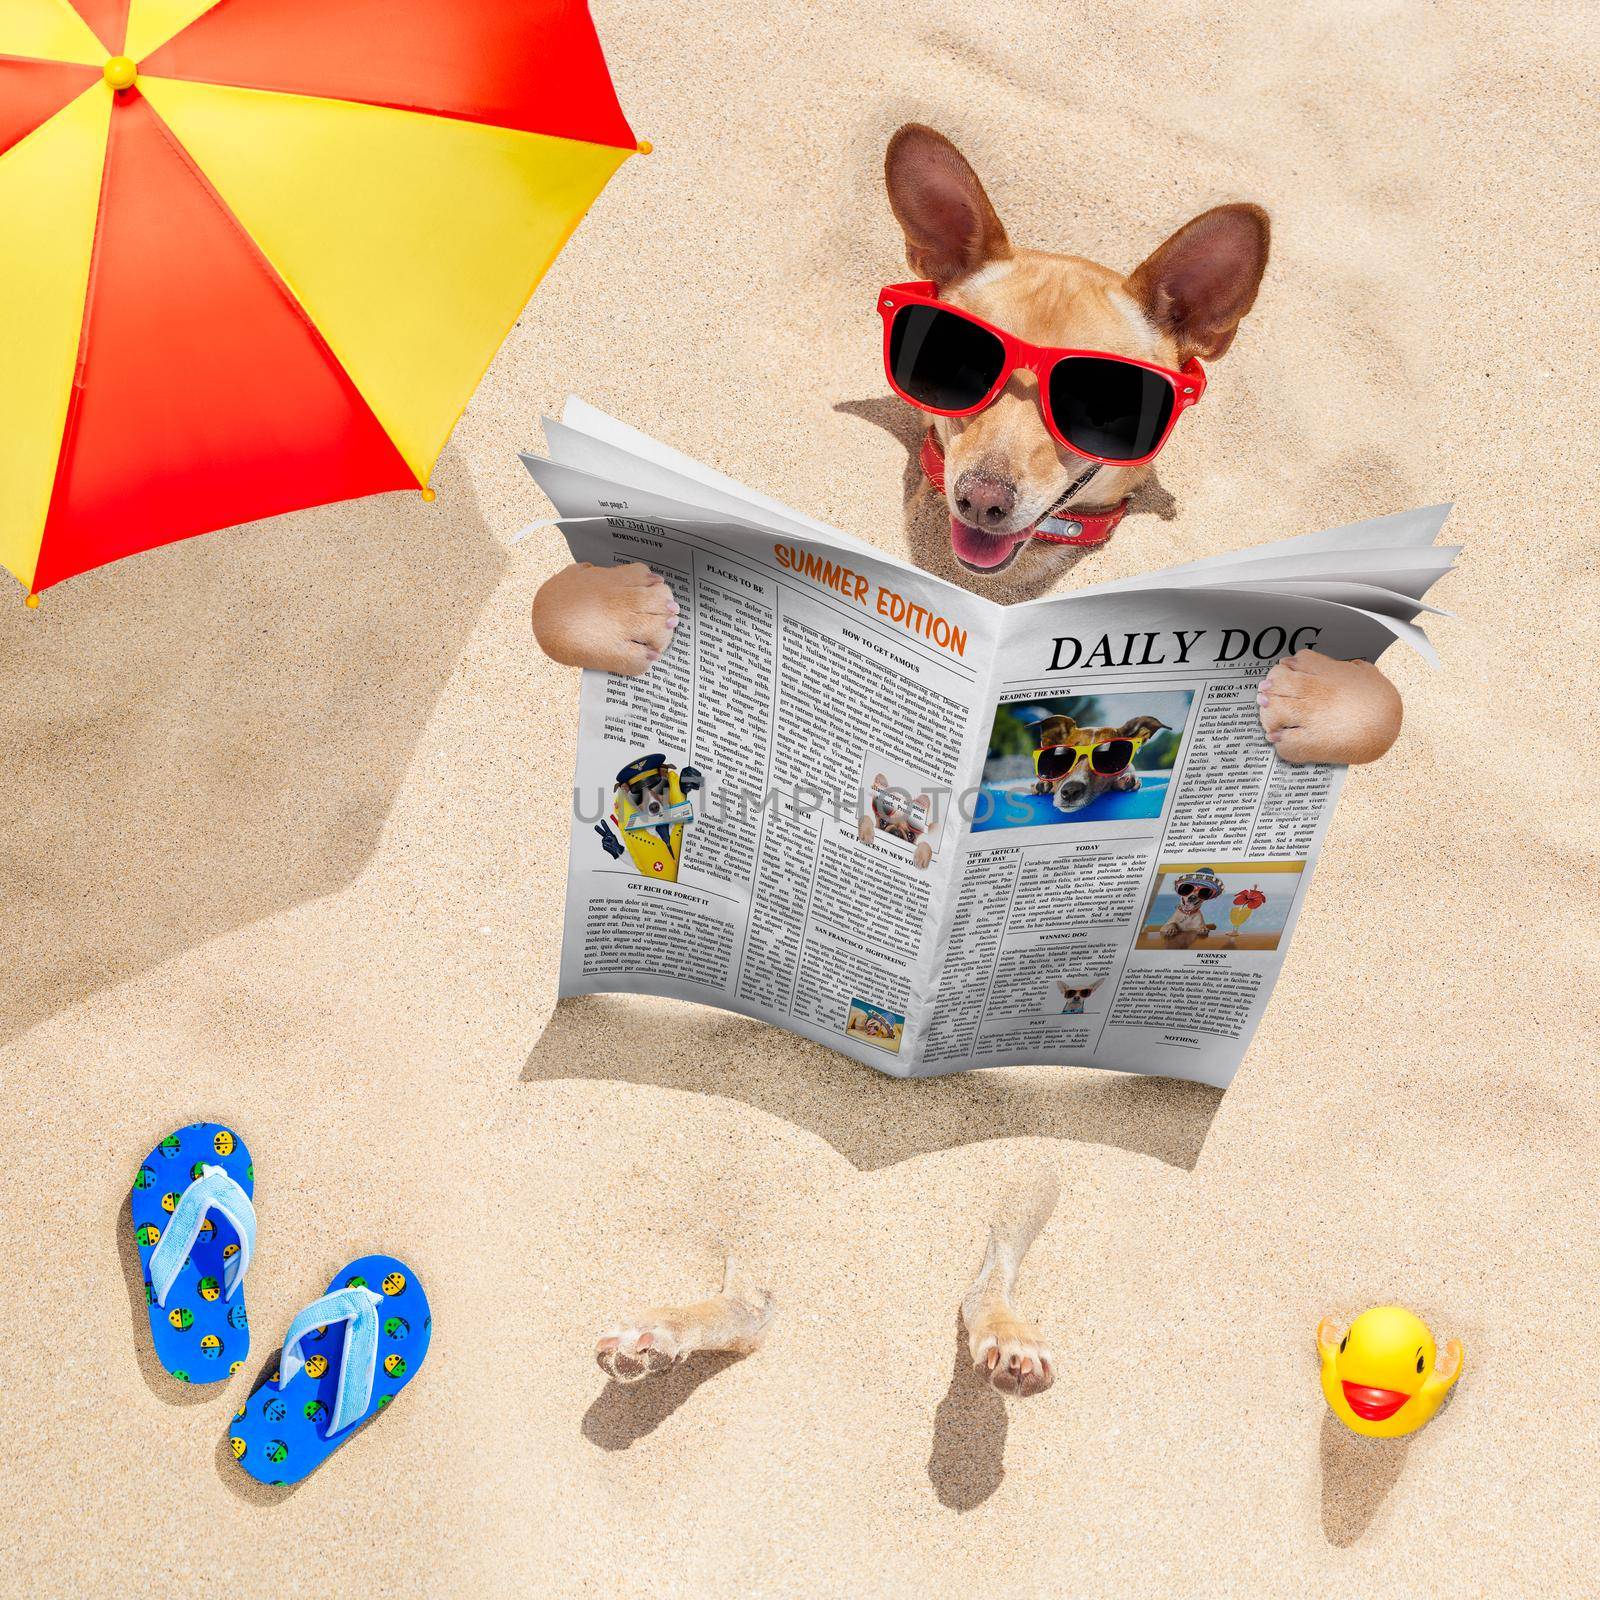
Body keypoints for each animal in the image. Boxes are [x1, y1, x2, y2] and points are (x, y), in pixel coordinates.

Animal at [534, 124, 1401, 1401]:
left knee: (974, 1276)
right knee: (755, 1297)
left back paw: (999, 1340)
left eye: (1098, 405)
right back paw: (670, 1329)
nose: (985, 496)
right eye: (962, 368)